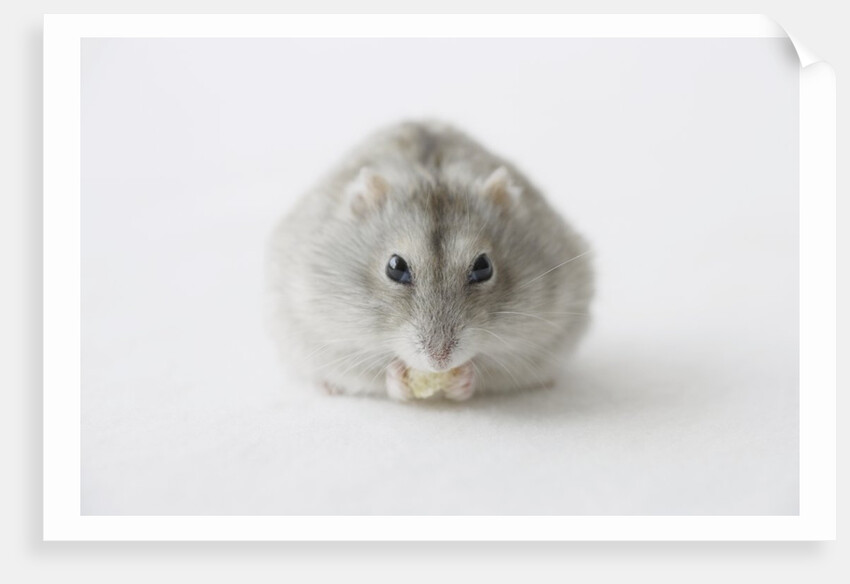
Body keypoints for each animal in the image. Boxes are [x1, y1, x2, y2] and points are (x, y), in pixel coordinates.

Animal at [266, 121, 594, 401]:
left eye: (483, 267)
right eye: (395, 267)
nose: (439, 361)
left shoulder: (542, 340)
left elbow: (487, 370)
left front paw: (463, 378)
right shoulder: (322, 333)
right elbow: (380, 376)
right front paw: (398, 375)